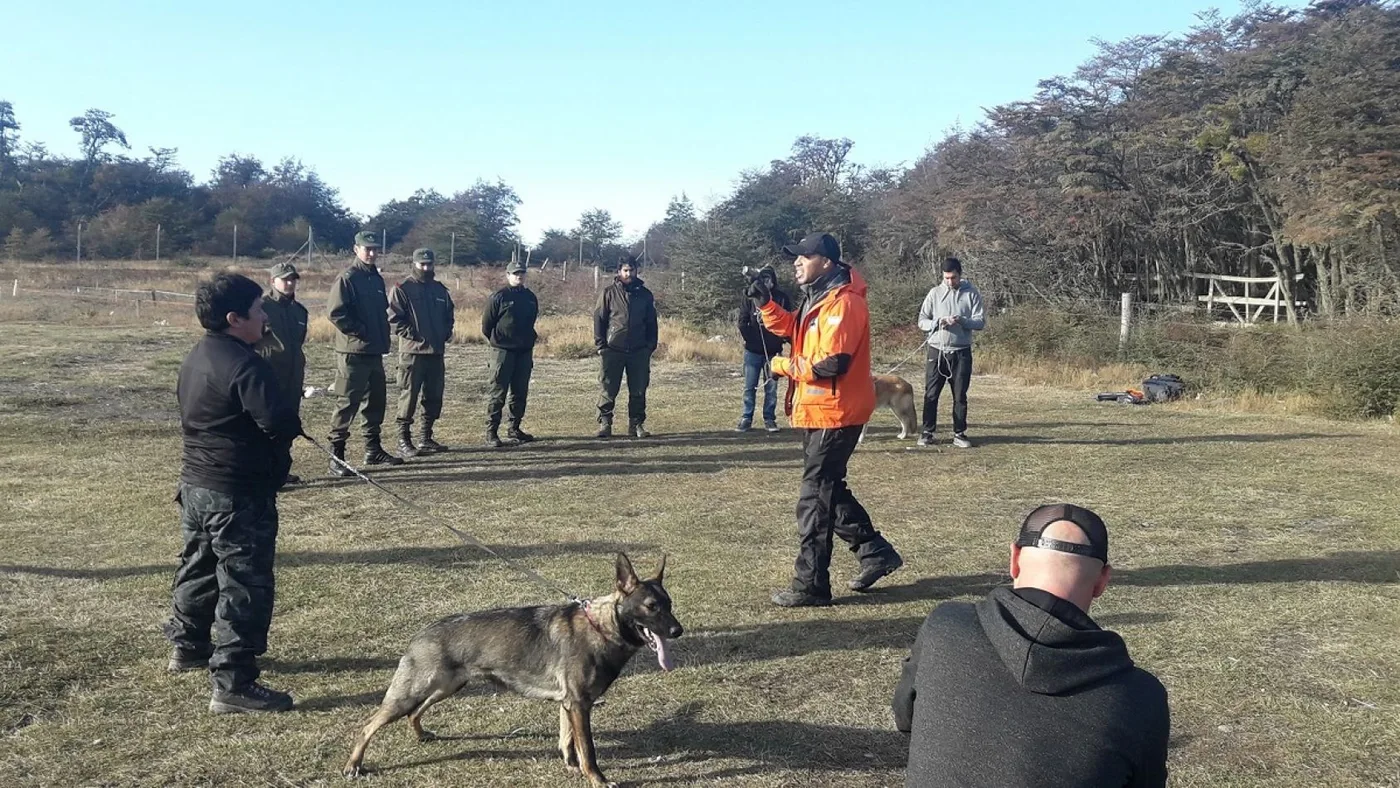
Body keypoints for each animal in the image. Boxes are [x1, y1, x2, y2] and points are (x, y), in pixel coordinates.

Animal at [344, 554, 683, 788]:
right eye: (651, 606)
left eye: (669, 603)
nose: (678, 631)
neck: (602, 626)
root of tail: (421, 633)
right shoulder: (579, 705)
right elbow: (588, 749)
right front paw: (597, 779)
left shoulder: (569, 705)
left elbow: (567, 742)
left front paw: (571, 768)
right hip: (411, 693)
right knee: (367, 725)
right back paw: (353, 765)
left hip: (446, 687)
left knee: (415, 713)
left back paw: (421, 734)